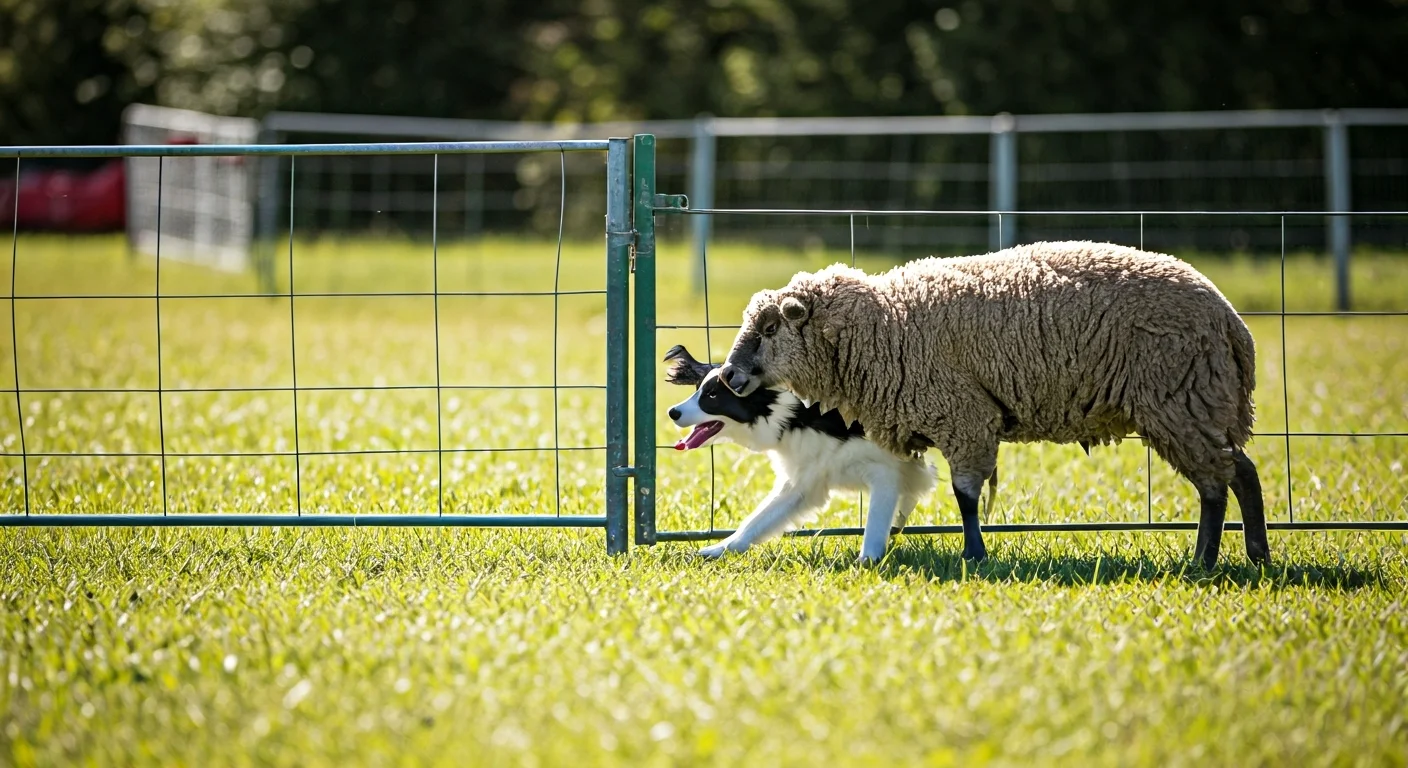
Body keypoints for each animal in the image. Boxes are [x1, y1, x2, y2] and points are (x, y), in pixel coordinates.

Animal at [717, 241, 1268, 568]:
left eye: (770, 328)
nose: (728, 375)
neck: (889, 323)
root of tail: (1230, 322)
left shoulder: (965, 416)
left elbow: (965, 495)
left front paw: (974, 554)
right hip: (1193, 406)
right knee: (1236, 474)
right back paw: (1249, 555)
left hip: (1180, 398)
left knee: (1219, 482)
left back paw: (1208, 561)